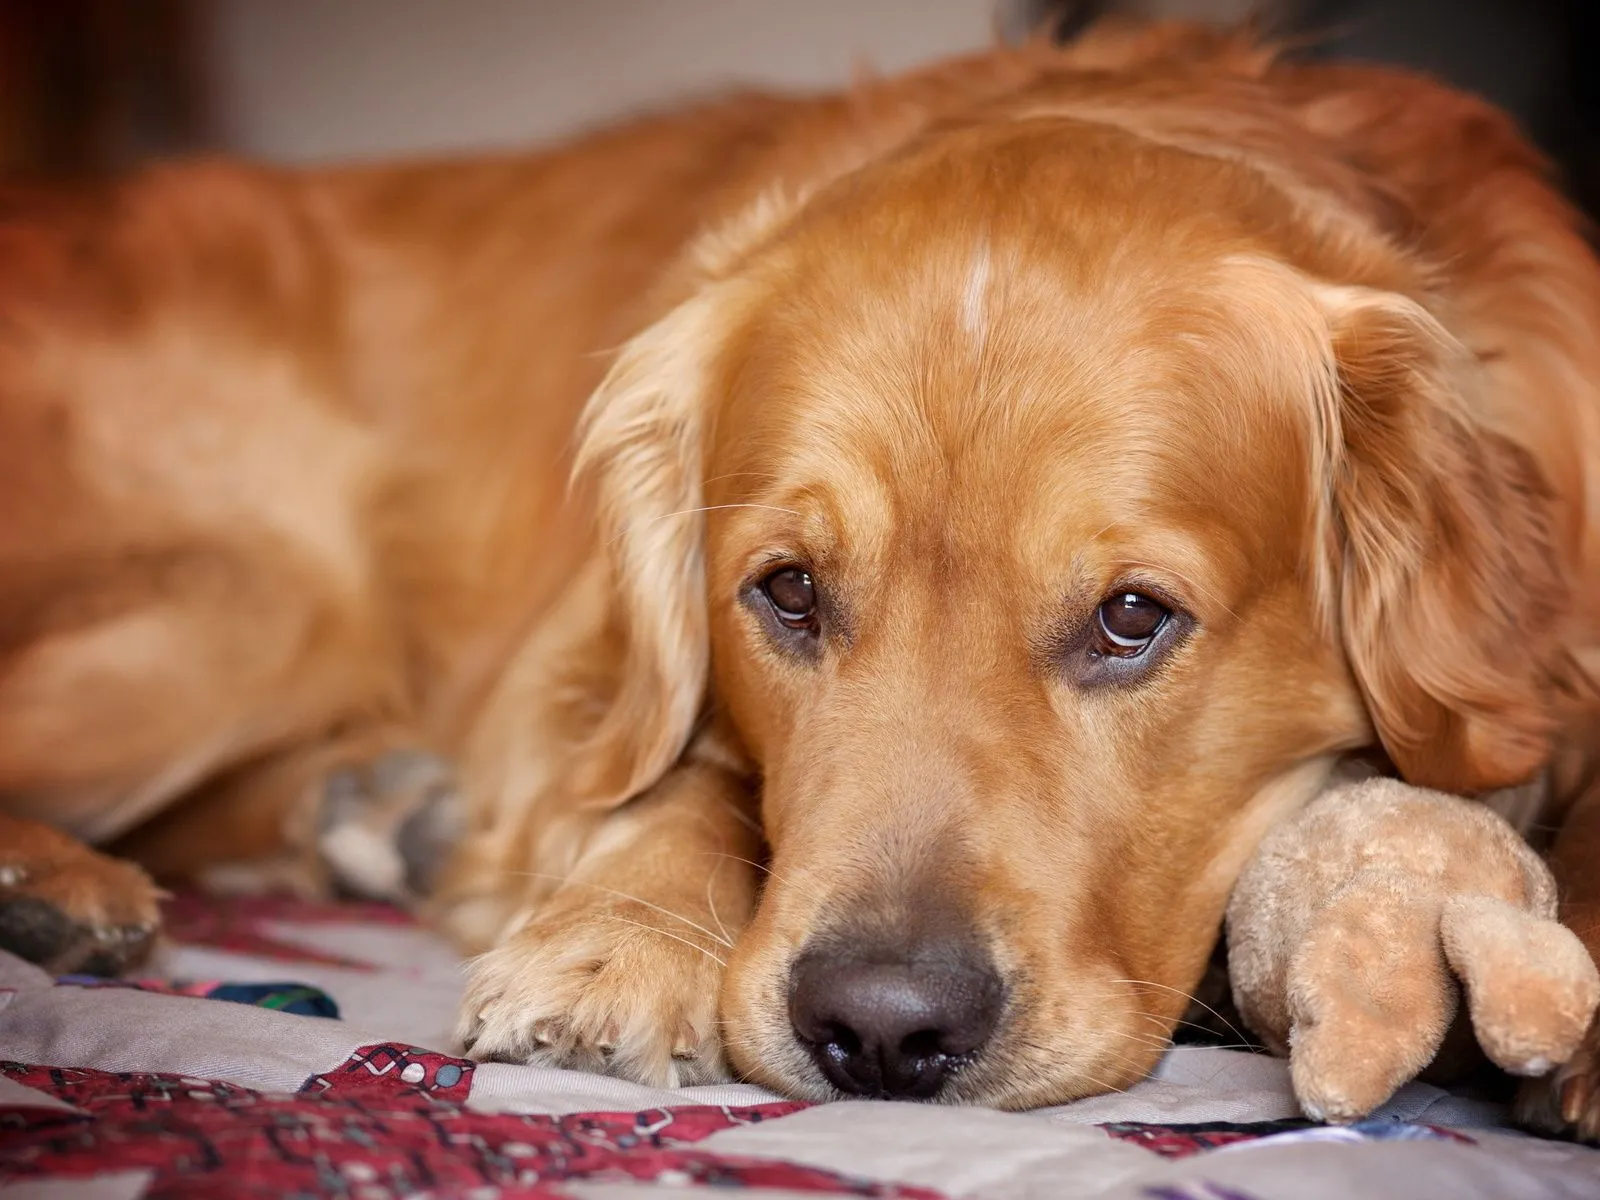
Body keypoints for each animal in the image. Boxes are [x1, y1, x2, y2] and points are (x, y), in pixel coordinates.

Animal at [3, 23, 1600, 1132]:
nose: (882, 1029)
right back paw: (67, 880)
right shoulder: (571, 682)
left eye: (1133, 619)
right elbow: (677, 773)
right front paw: (617, 937)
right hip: (257, 601)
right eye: (785, 592)